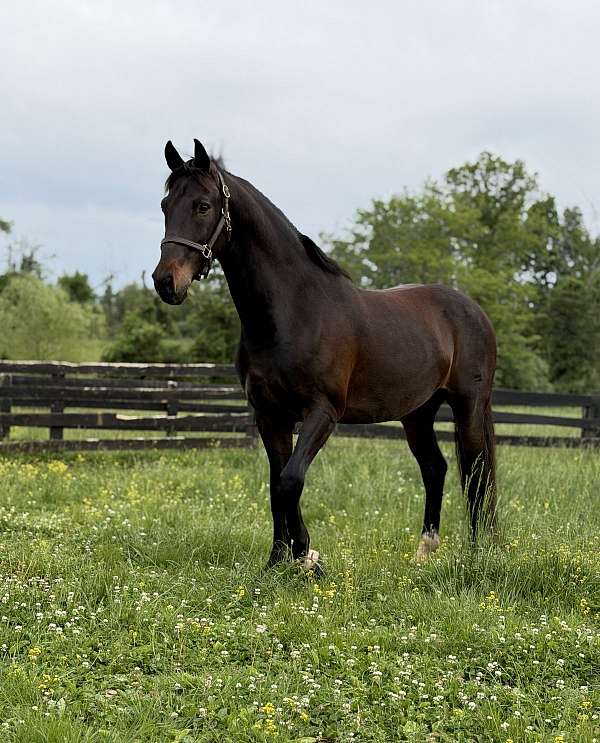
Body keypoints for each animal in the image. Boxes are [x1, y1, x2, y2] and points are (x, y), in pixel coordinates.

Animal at [152, 139, 497, 569]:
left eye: (202, 205)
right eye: (165, 205)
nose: (166, 282)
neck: (294, 312)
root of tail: (473, 310)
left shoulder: (323, 412)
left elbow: (291, 480)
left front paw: (306, 555)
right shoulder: (270, 416)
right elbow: (275, 486)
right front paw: (278, 561)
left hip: (468, 405)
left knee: (477, 473)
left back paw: (478, 553)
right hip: (418, 413)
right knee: (436, 468)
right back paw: (424, 552)